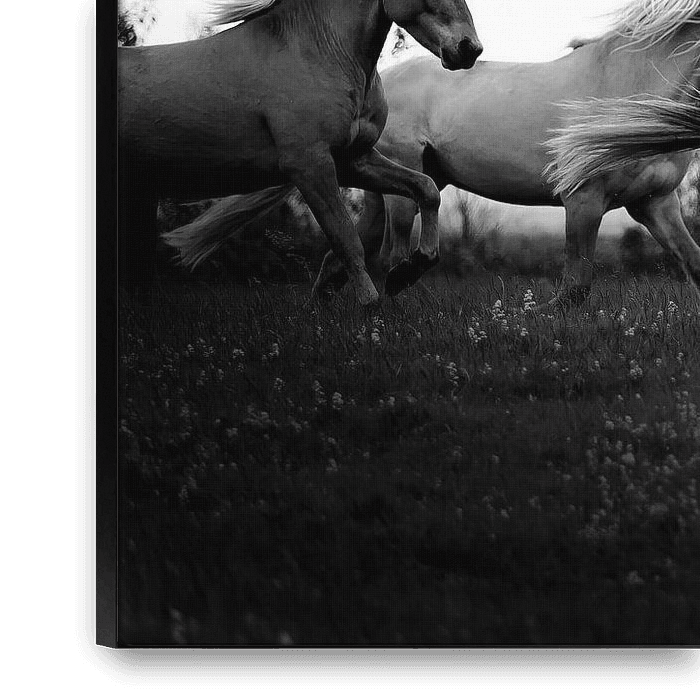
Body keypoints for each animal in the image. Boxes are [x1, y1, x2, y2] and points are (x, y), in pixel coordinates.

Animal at [120, 0, 482, 306]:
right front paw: (370, 306)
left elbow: (426, 189)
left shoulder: (354, 161)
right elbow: (345, 238)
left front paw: (406, 273)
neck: (319, 54)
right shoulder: (310, 166)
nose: (470, 49)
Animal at [311, 0, 700, 307]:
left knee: (341, 254)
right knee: (390, 254)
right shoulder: (584, 201)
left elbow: (692, 261)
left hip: (388, 188)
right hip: (402, 191)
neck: (629, 86)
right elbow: (574, 288)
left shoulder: (655, 203)